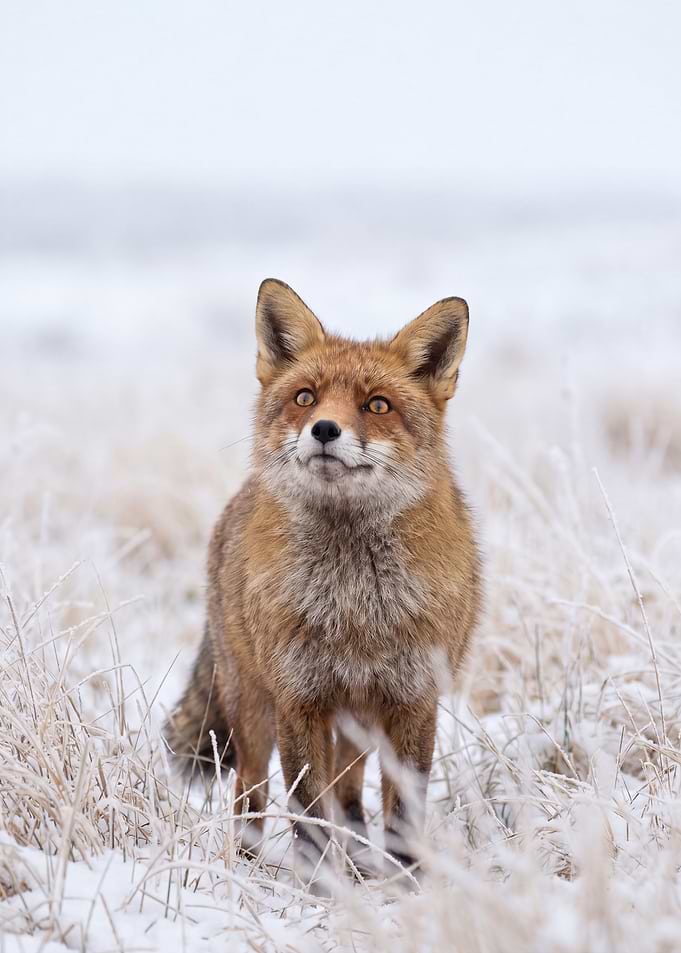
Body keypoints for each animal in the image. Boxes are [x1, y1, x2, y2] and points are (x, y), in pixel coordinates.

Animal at [165, 278, 482, 882]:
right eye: (306, 398)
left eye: (377, 405)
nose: (325, 430)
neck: (354, 604)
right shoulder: (300, 701)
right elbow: (309, 813)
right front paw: (321, 885)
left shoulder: (412, 701)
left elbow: (401, 812)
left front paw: (407, 884)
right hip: (256, 711)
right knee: (250, 791)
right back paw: (247, 867)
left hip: (356, 727)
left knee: (352, 797)